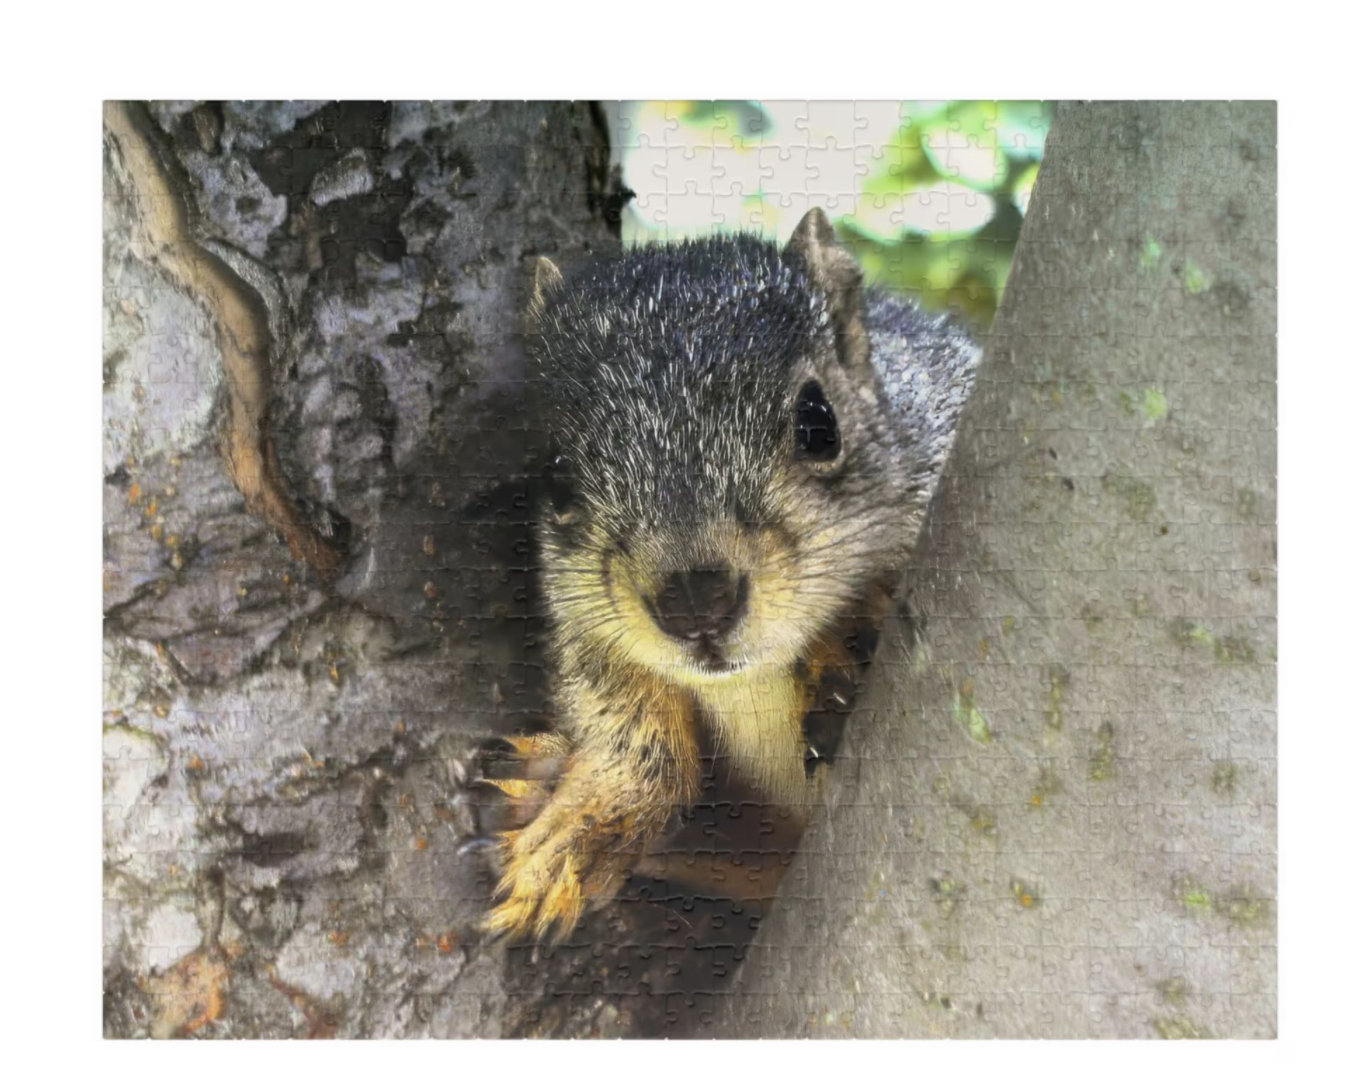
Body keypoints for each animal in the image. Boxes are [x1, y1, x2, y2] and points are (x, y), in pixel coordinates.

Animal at [481, 209, 984, 946]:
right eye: (559, 475)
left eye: (819, 423)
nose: (696, 604)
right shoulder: (581, 614)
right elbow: (621, 715)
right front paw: (588, 821)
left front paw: (843, 647)